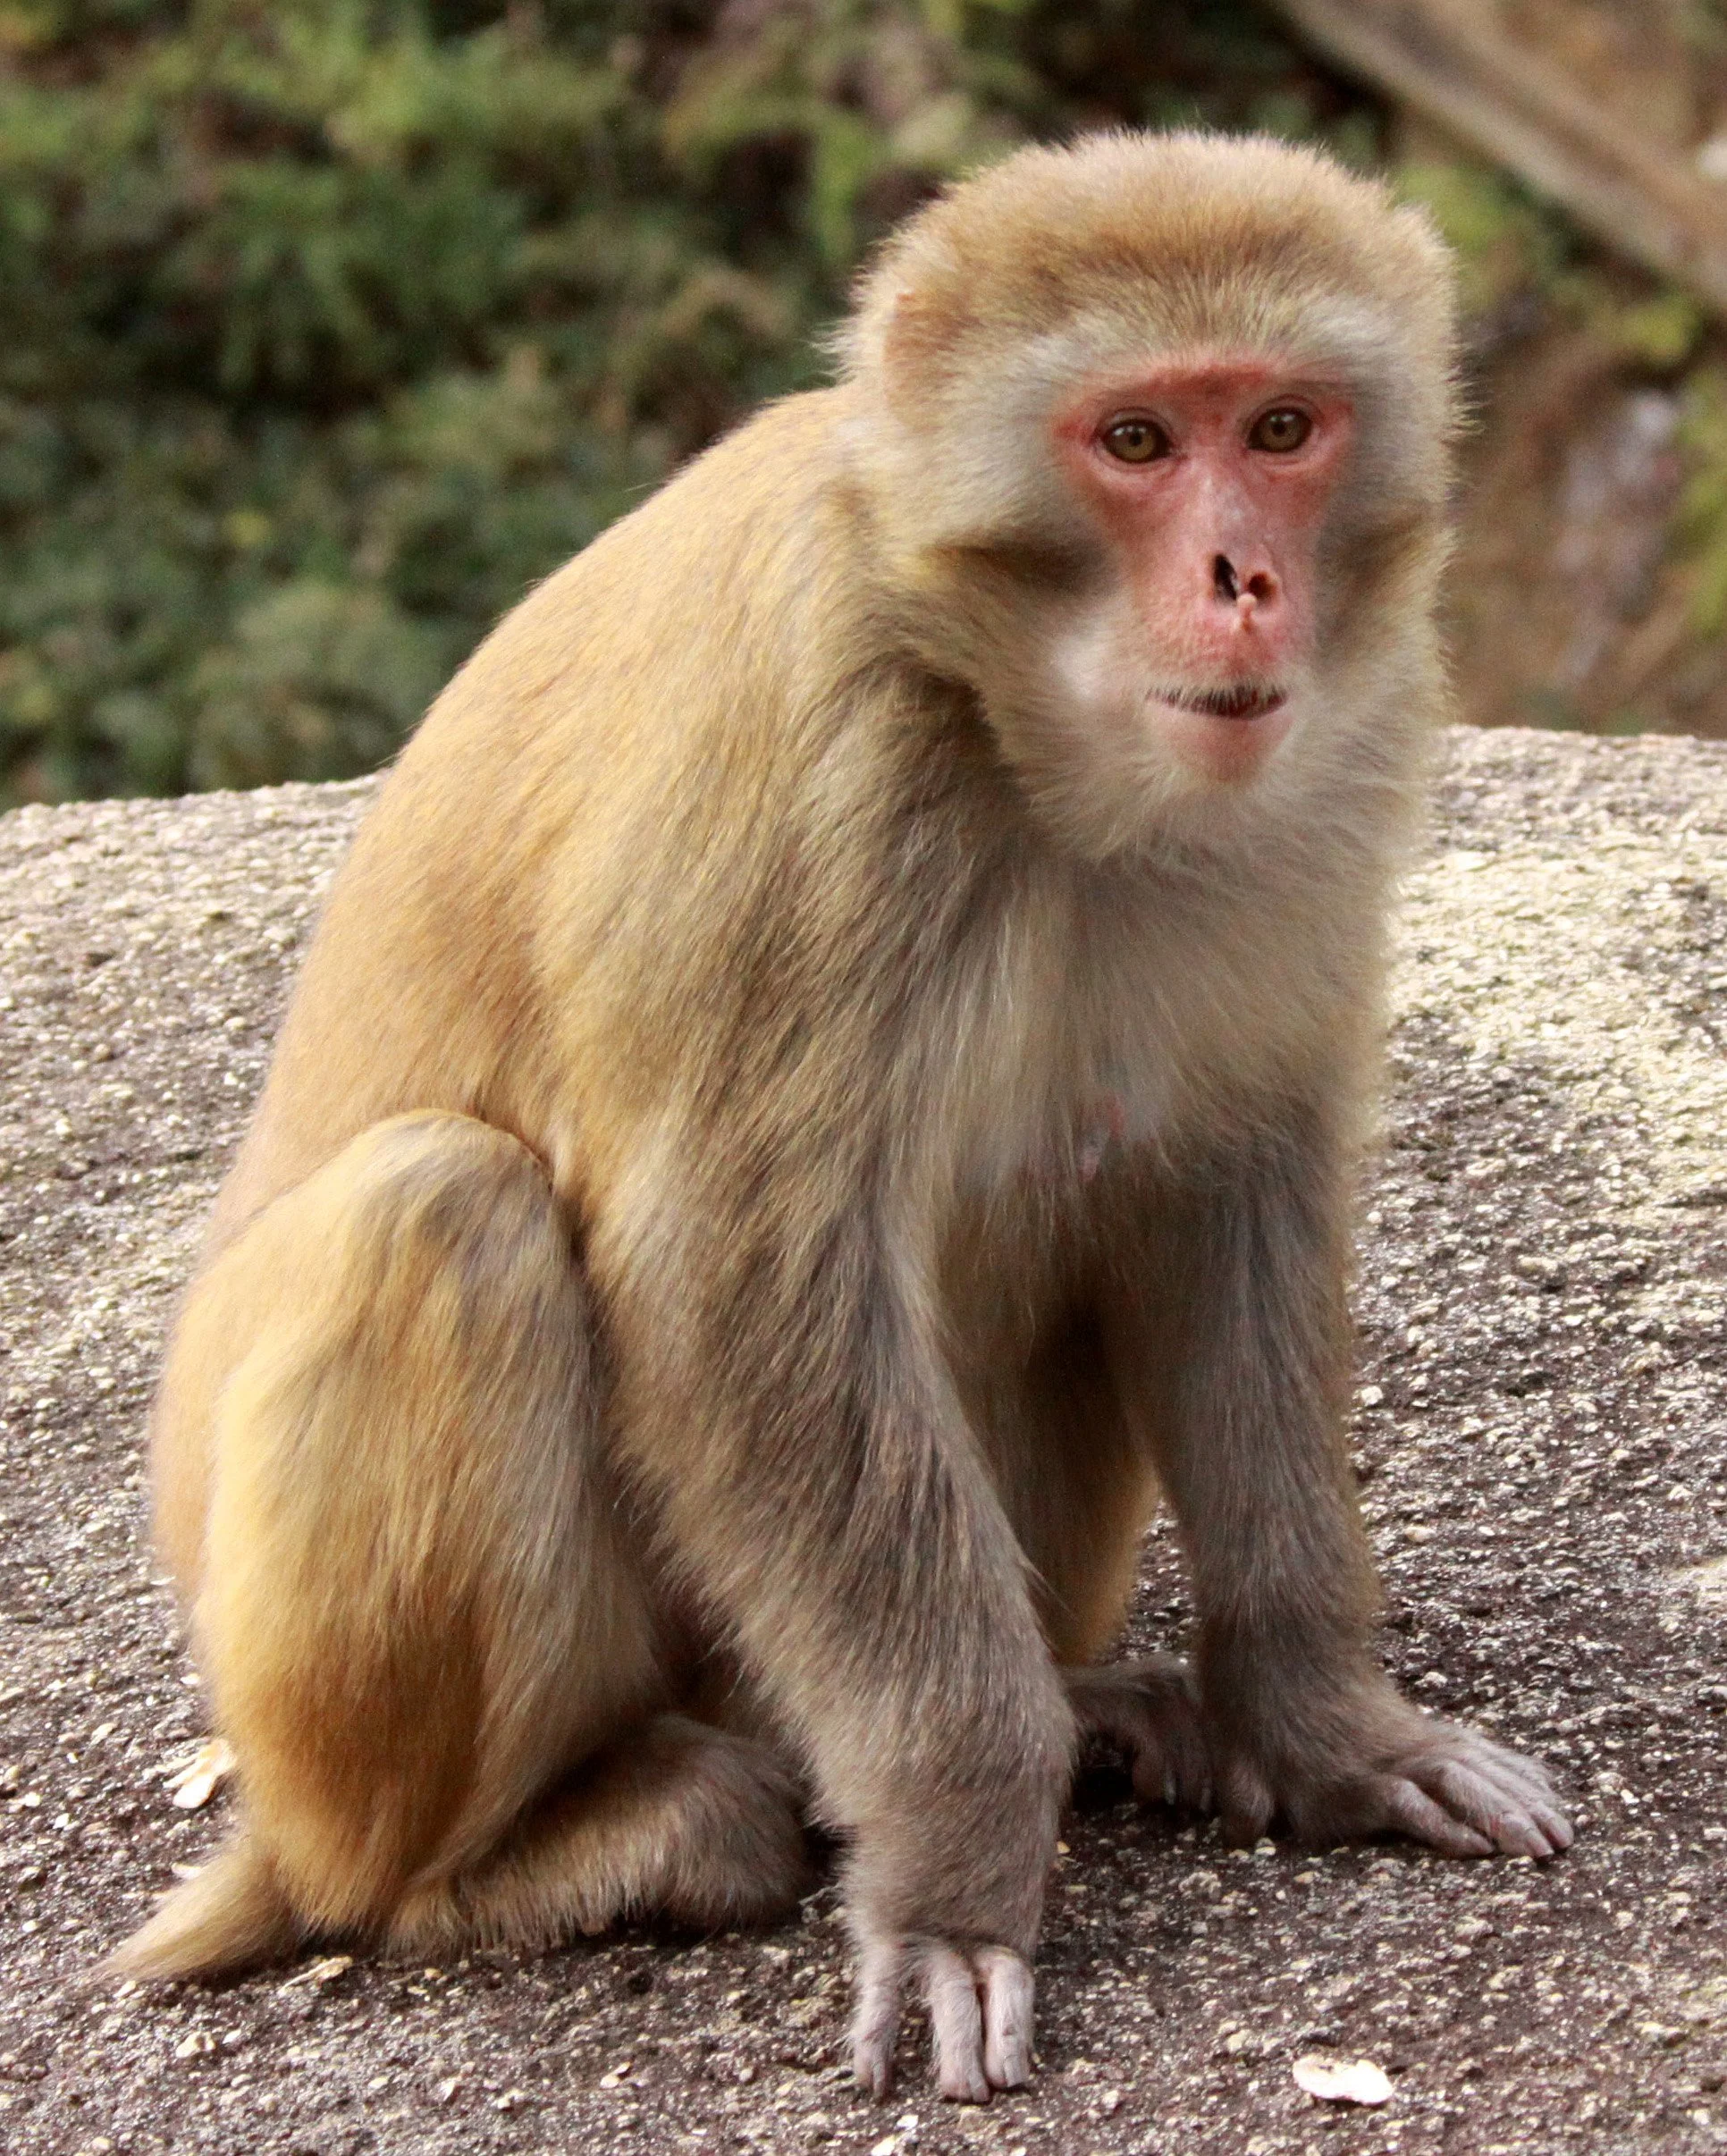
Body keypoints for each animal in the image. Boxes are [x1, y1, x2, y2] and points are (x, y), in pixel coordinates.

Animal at [108, 130, 1572, 2103]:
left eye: (1281, 429)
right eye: (1132, 441)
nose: (1244, 580)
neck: (999, 704)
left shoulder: (1334, 758)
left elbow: (1224, 1189)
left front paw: (1331, 1725)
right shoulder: (815, 761)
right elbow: (739, 1290)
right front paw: (958, 1875)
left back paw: (1087, 1702)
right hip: (327, 1740)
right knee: (445, 1214)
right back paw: (552, 1852)